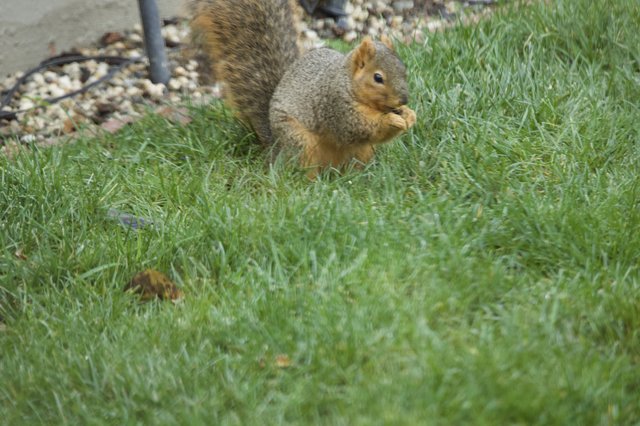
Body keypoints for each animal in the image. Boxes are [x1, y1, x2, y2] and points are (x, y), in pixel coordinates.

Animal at [188, 0, 416, 177]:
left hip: (362, 152)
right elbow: (357, 127)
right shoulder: (335, 105)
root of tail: (275, 148)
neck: (347, 83)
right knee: (302, 170)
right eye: (378, 77)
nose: (403, 100)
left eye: (403, 69)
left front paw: (409, 115)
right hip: (300, 142)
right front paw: (392, 119)